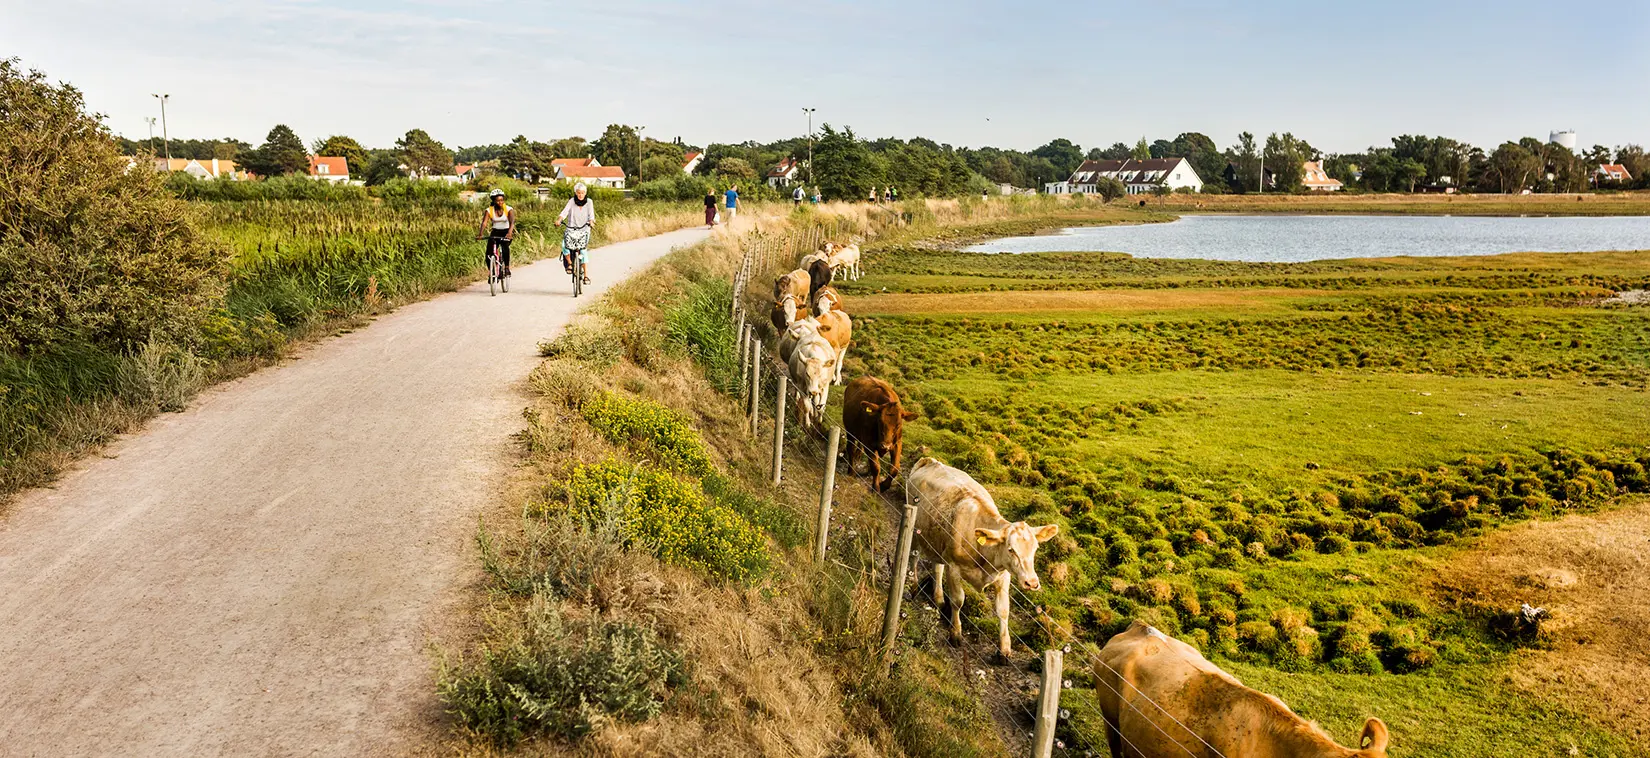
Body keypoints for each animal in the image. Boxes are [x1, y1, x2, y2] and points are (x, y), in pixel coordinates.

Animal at [904, 455, 1056, 657]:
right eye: (1011, 549)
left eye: (1035, 548)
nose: (1031, 583)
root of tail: (930, 461)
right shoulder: (954, 567)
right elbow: (958, 600)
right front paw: (955, 634)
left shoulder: (1003, 575)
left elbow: (1003, 610)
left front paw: (1004, 649)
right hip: (915, 531)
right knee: (913, 557)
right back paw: (913, 587)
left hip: (937, 540)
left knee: (937, 567)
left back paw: (938, 599)